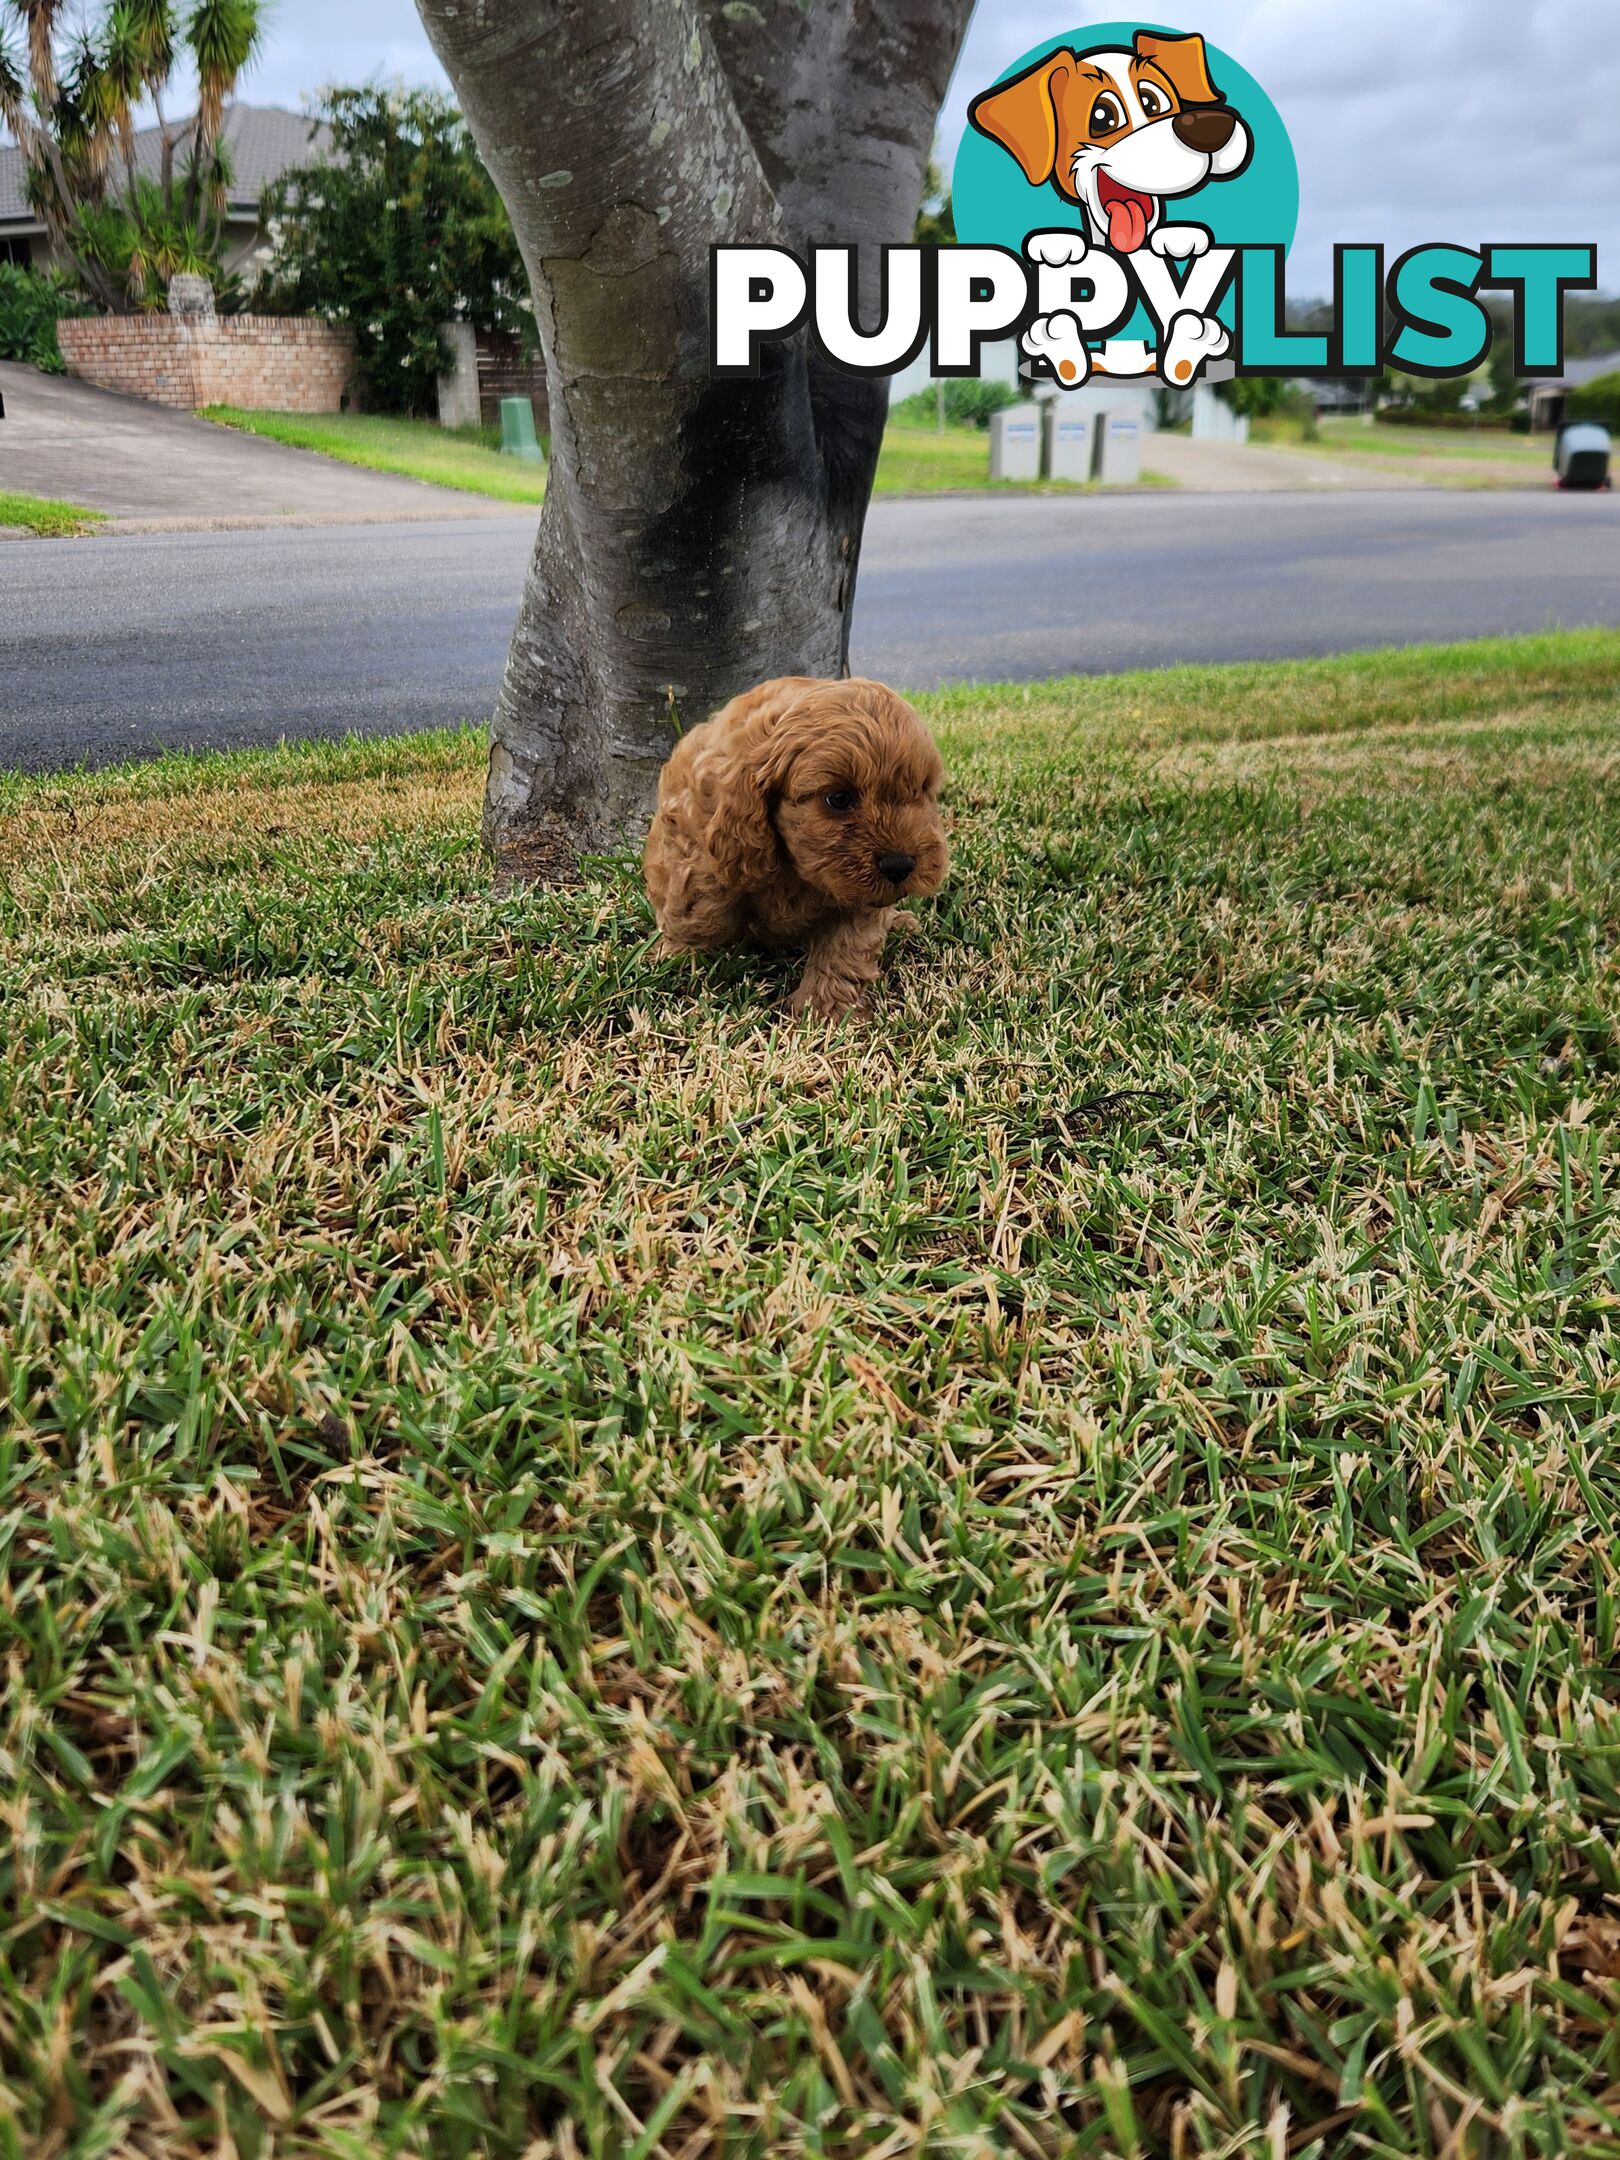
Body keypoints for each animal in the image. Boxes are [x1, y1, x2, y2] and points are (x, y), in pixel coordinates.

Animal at [648, 678, 950, 1015]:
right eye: (839, 798)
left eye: (922, 790)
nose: (900, 865)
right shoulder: (698, 847)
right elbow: (697, 913)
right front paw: (671, 959)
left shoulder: (854, 897)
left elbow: (845, 950)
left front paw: (824, 1011)